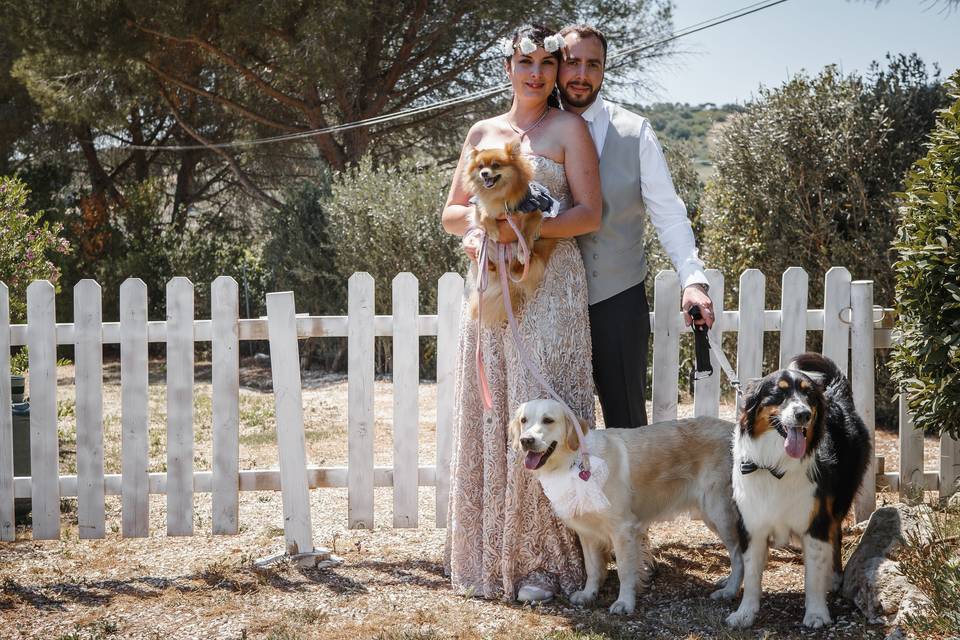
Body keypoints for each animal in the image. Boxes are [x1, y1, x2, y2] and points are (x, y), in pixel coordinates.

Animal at [464, 141, 560, 324]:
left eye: (495, 165)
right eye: (480, 166)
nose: (484, 173)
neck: (499, 195)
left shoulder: (534, 210)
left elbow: (526, 231)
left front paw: (524, 249)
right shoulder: (480, 207)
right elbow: (484, 215)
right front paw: (493, 230)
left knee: (522, 264)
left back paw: (523, 258)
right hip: (485, 247)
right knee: (486, 258)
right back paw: (487, 263)